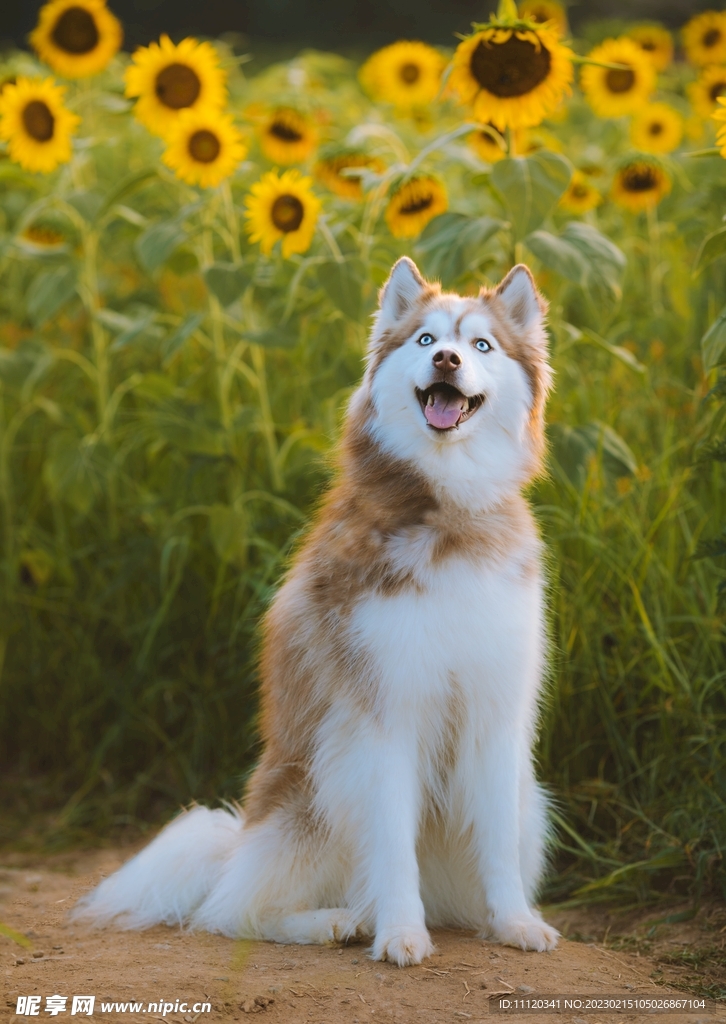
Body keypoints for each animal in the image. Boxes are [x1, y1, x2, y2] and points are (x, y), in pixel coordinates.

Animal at [73, 258, 557, 966]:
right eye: (425, 339)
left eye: (481, 345)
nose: (445, 359)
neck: (449, 514)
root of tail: (240, 838)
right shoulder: (383, 715)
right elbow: (392, 846)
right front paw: (400, 933)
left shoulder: (496, 714)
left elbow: (494, 840)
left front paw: (515, 921)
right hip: (317, 789)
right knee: (230, 910)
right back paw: (333, 921)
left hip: (530, 803)